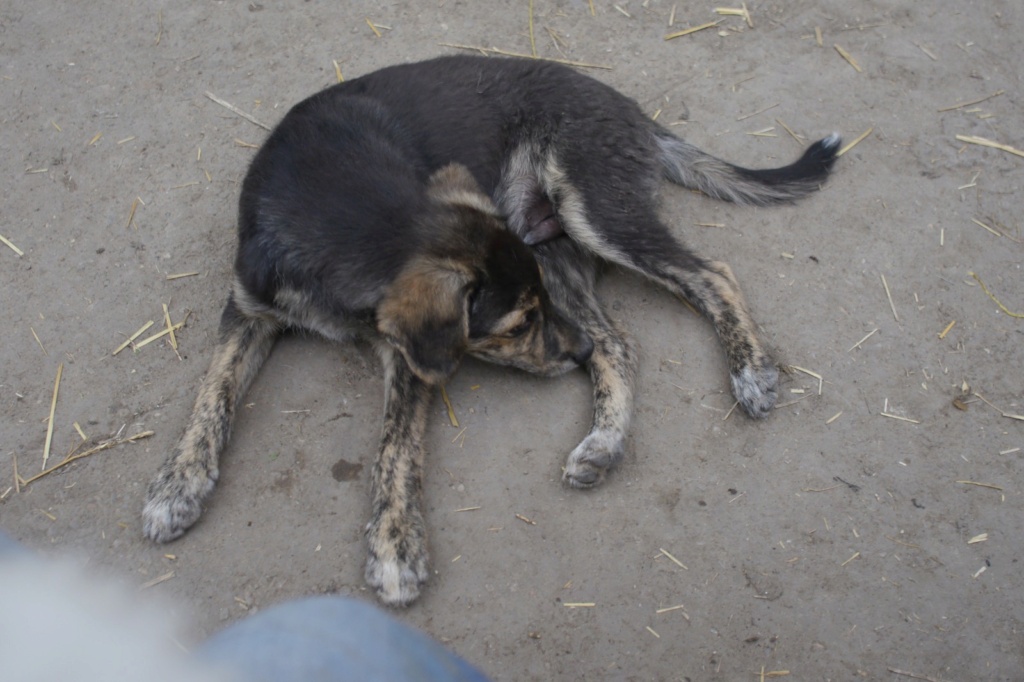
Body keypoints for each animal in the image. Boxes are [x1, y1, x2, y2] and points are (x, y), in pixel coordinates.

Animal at [144, 55, 835, 602]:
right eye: (518, 320)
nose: (573, 349)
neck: (334, 199)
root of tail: (633, 110)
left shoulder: (407, 357)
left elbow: (395, 449)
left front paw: (395, 548)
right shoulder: (247, 309)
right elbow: (212, 395)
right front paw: (177, 485)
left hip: (590, 214)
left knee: (709, 274)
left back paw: (750, 371)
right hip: (551, 245)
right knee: (618, 342)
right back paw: (603, 442)